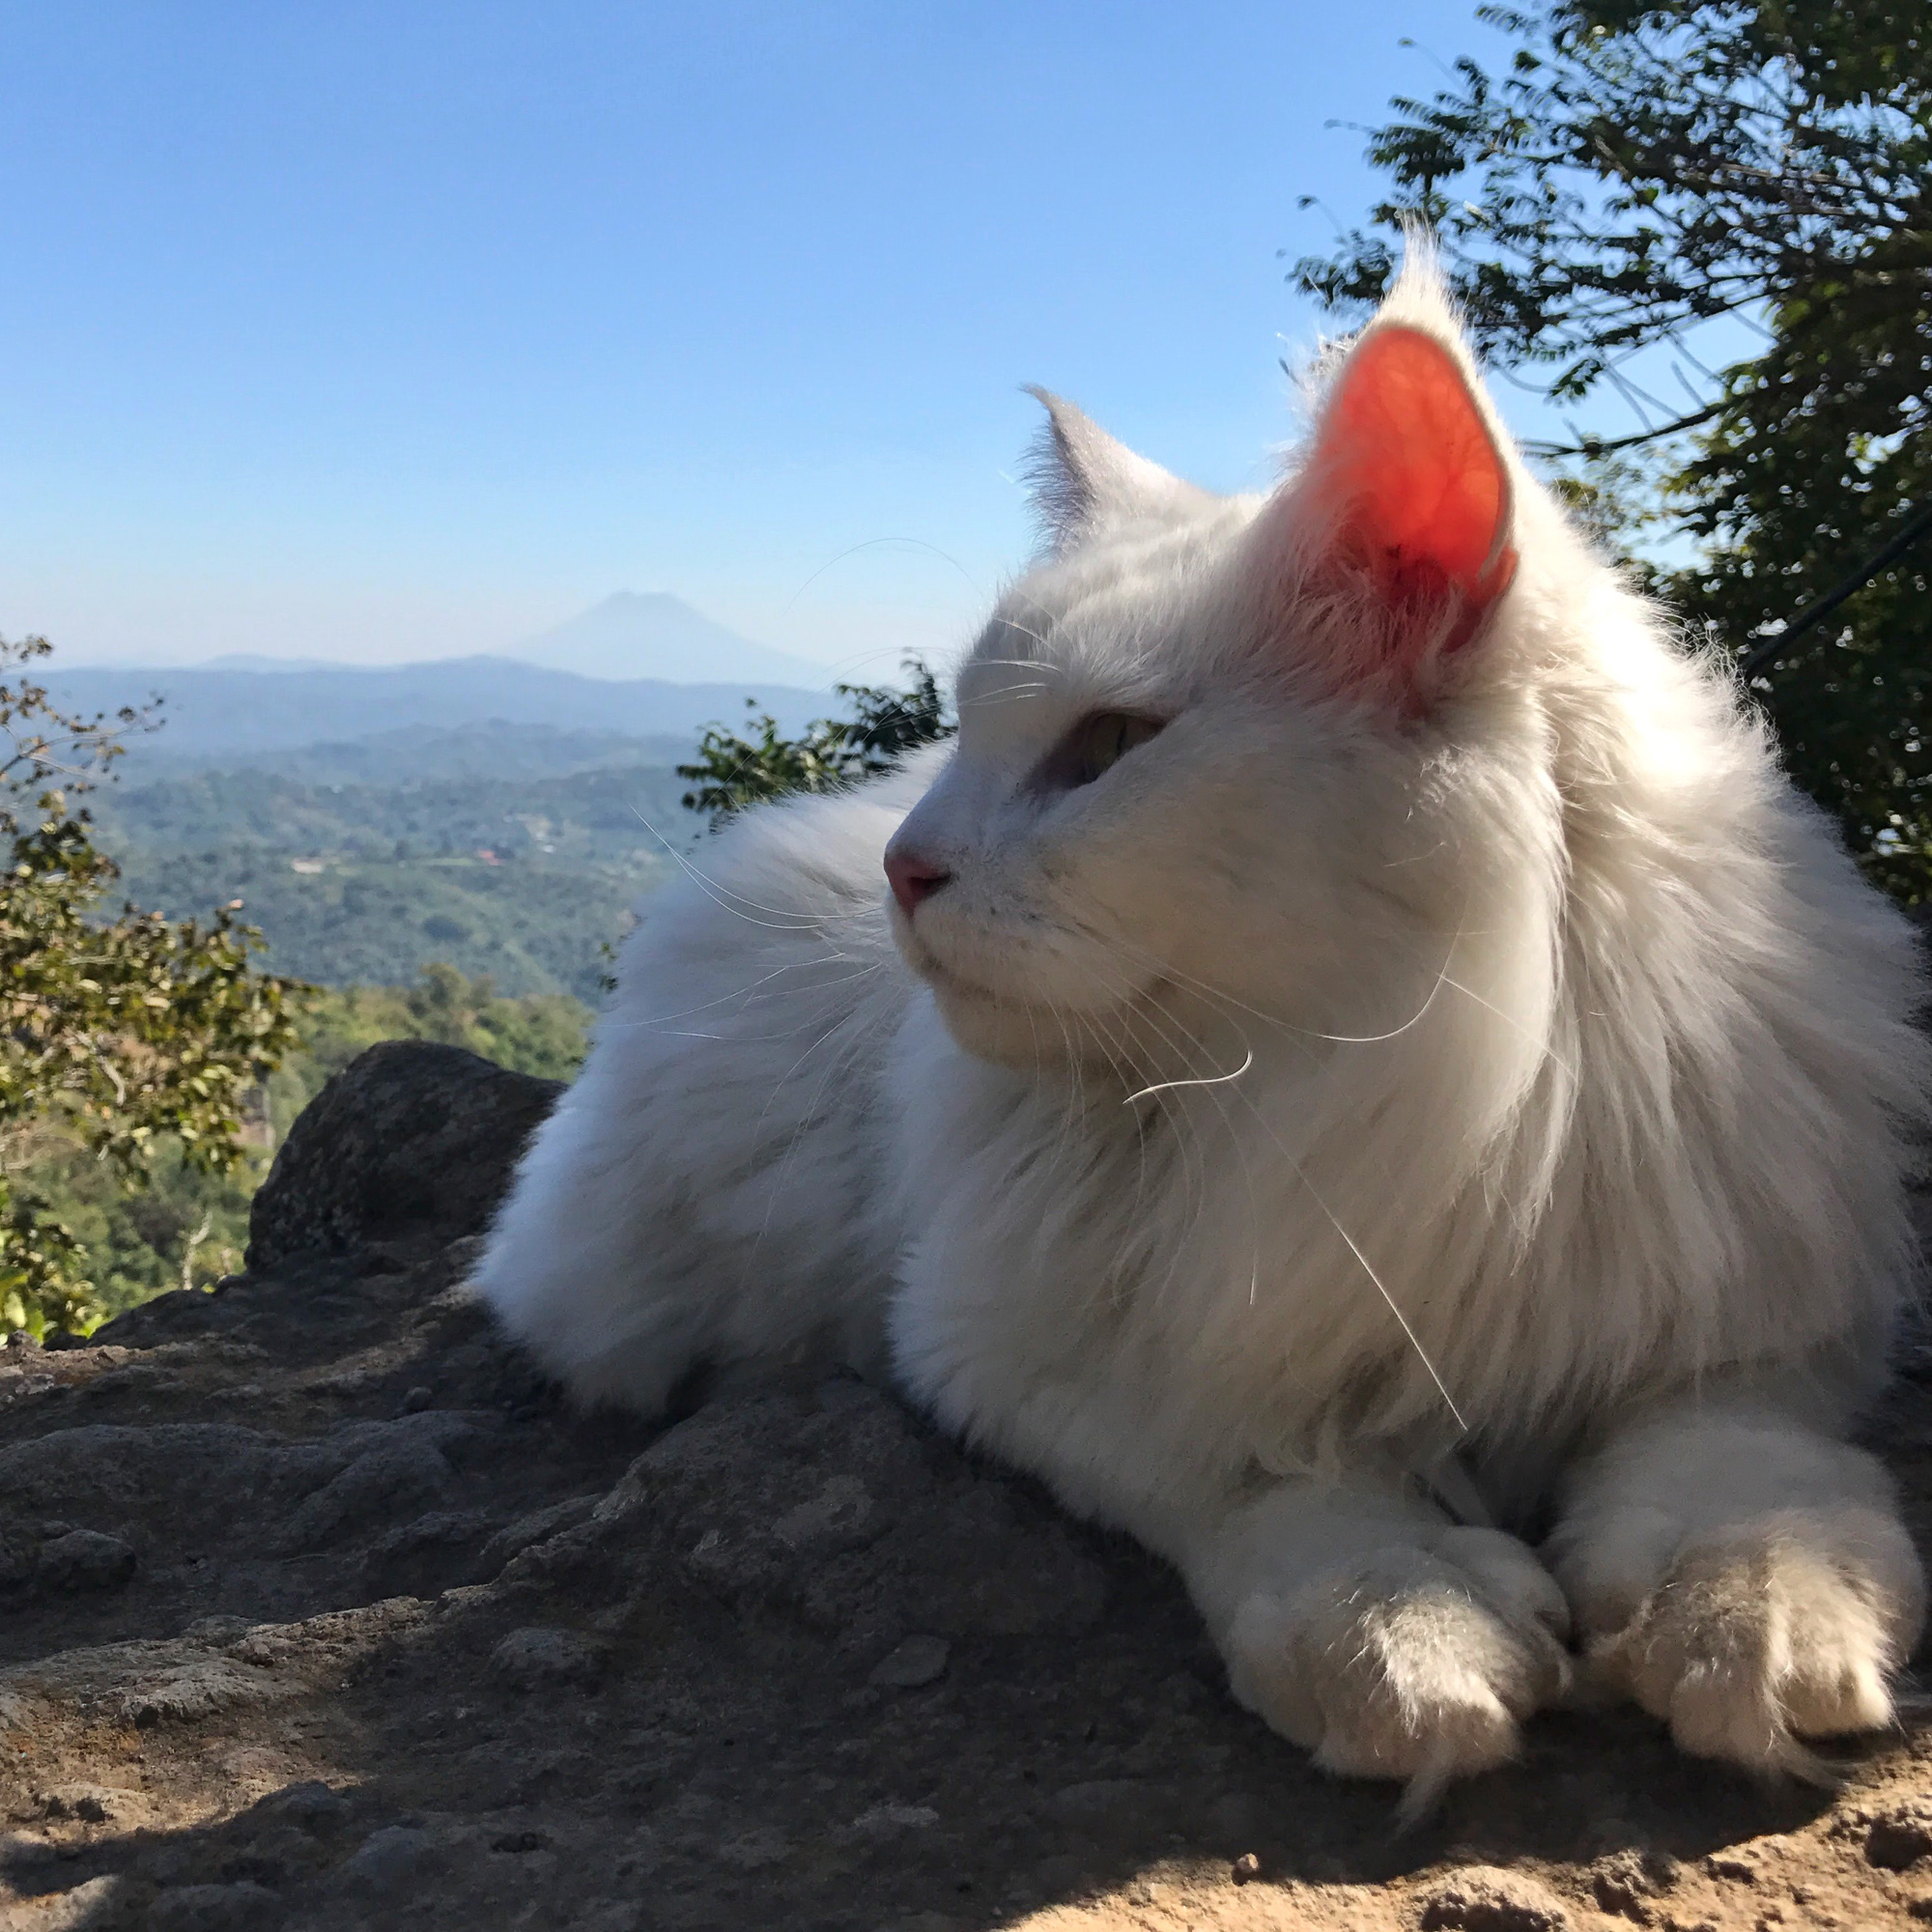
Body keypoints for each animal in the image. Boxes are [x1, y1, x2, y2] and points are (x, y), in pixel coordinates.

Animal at [471, 261, 1932, 1808]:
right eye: (965, 735)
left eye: (1110, 750)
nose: (906, 871)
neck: (1381, 1109)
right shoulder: (1020, 1345)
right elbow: (1267, 1472)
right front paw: (1404, 1633)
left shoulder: (1754, 1322)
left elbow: (1737, 1476)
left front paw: (1758, 1617)